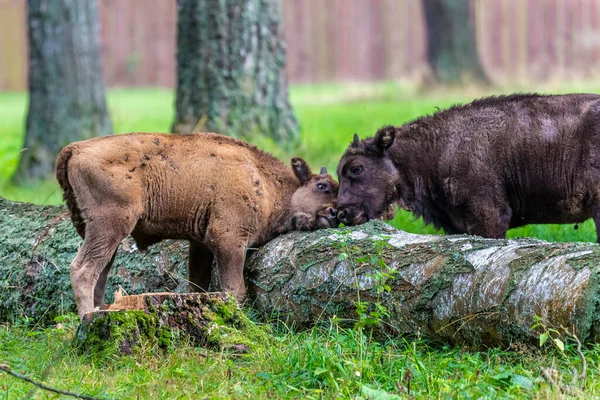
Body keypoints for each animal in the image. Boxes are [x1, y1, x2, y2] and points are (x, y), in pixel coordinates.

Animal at [56, 133, 340, 318]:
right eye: (321, 186)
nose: (336, 213)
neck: (263, 180)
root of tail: (75, 148)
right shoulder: (229, 240)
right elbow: (234, 290)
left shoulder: (200, 245)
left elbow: (198, 285)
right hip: (110, 226)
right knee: (83, 269)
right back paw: (87, 318)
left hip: (100, 233)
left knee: (100, 273)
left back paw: (99, 312)